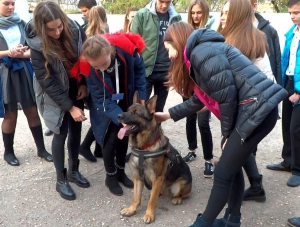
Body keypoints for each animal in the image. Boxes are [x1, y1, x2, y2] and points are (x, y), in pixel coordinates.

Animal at [117, 91, 192, 223]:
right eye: (128, 110)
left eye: (135, 113)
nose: (118, 116)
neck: (143, 148)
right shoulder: (138, 177)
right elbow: (135, 197)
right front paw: (131, 209)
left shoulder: (157, 178)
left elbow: (152, 201)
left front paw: (149, 214)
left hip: (179, 184)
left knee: (184, 194)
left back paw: (177, 198)